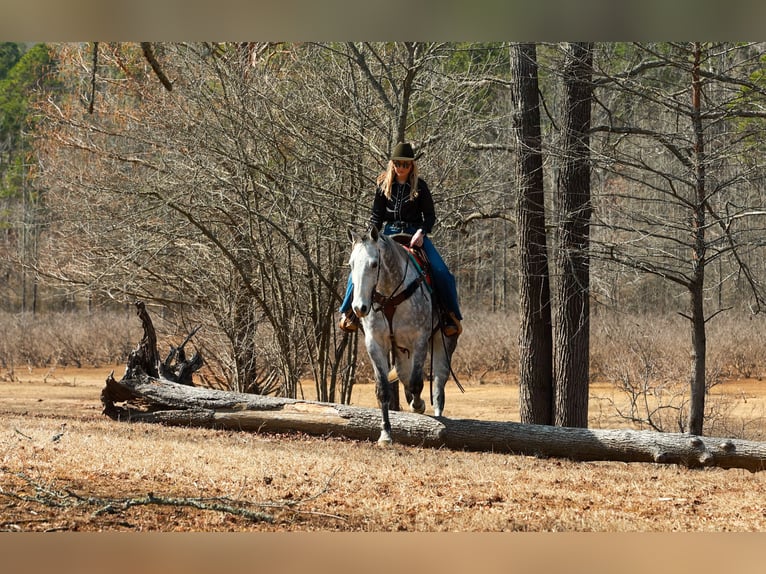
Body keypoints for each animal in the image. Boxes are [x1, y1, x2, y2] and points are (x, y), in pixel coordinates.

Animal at [347, 226, 458, 445]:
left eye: (374, 264)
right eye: (351, 264)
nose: (359, 308)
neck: (390, 296)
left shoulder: (420, 340)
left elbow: (416, 383)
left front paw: (419, 406)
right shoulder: (375, 343)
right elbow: (383, 389)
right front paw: (385, 434)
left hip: (443, 344)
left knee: (438, 386)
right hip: (401, 350)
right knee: (405, 375)